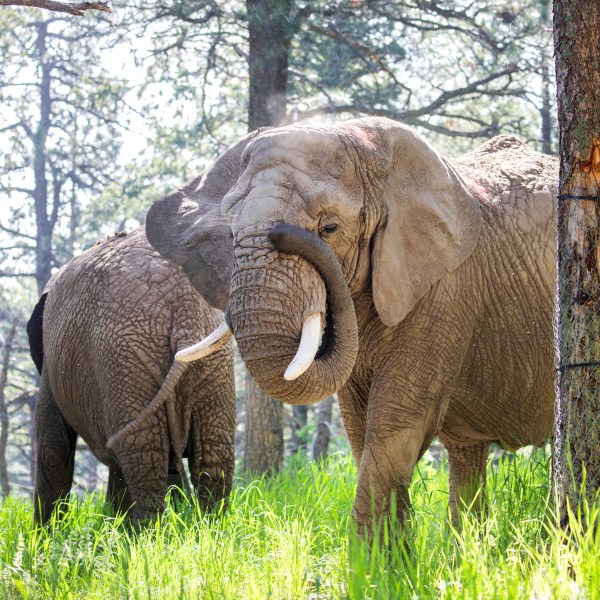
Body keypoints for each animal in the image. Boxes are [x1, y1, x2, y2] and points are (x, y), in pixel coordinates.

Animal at [26, 226, 237, 524]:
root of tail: (182, 306)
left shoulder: (51, 366)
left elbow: (53, 449)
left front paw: (45, 535)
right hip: (210, 361)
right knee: (211, 458)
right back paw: (207, 529)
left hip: (123, 357)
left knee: (143, 456)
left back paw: (146, 533)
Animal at [145, 118, 556, 536]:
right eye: (230, 234)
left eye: (329, 227)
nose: (282, 232)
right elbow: (360, 428)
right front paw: (389, 552)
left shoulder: (445, 290)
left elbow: (396, 424)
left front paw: (369, 555)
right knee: (465, 455)